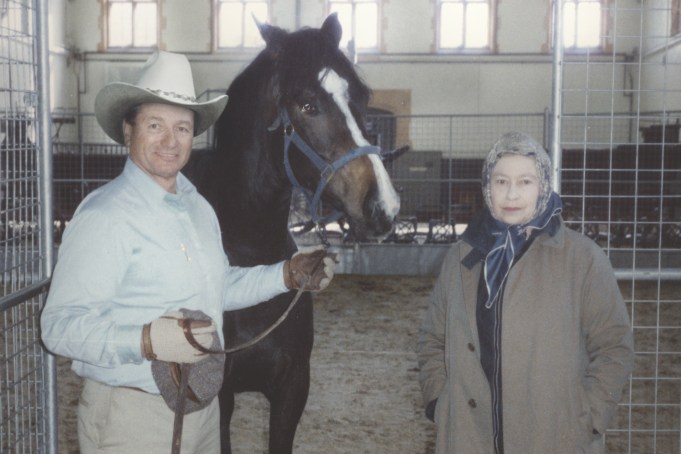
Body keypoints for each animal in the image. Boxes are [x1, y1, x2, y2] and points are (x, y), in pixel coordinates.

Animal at [186, 14, 398, 454]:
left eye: (363, 97)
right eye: (307, 105)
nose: (383, 206)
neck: (250, 255)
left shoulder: (292, 389)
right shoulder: (220, 399)